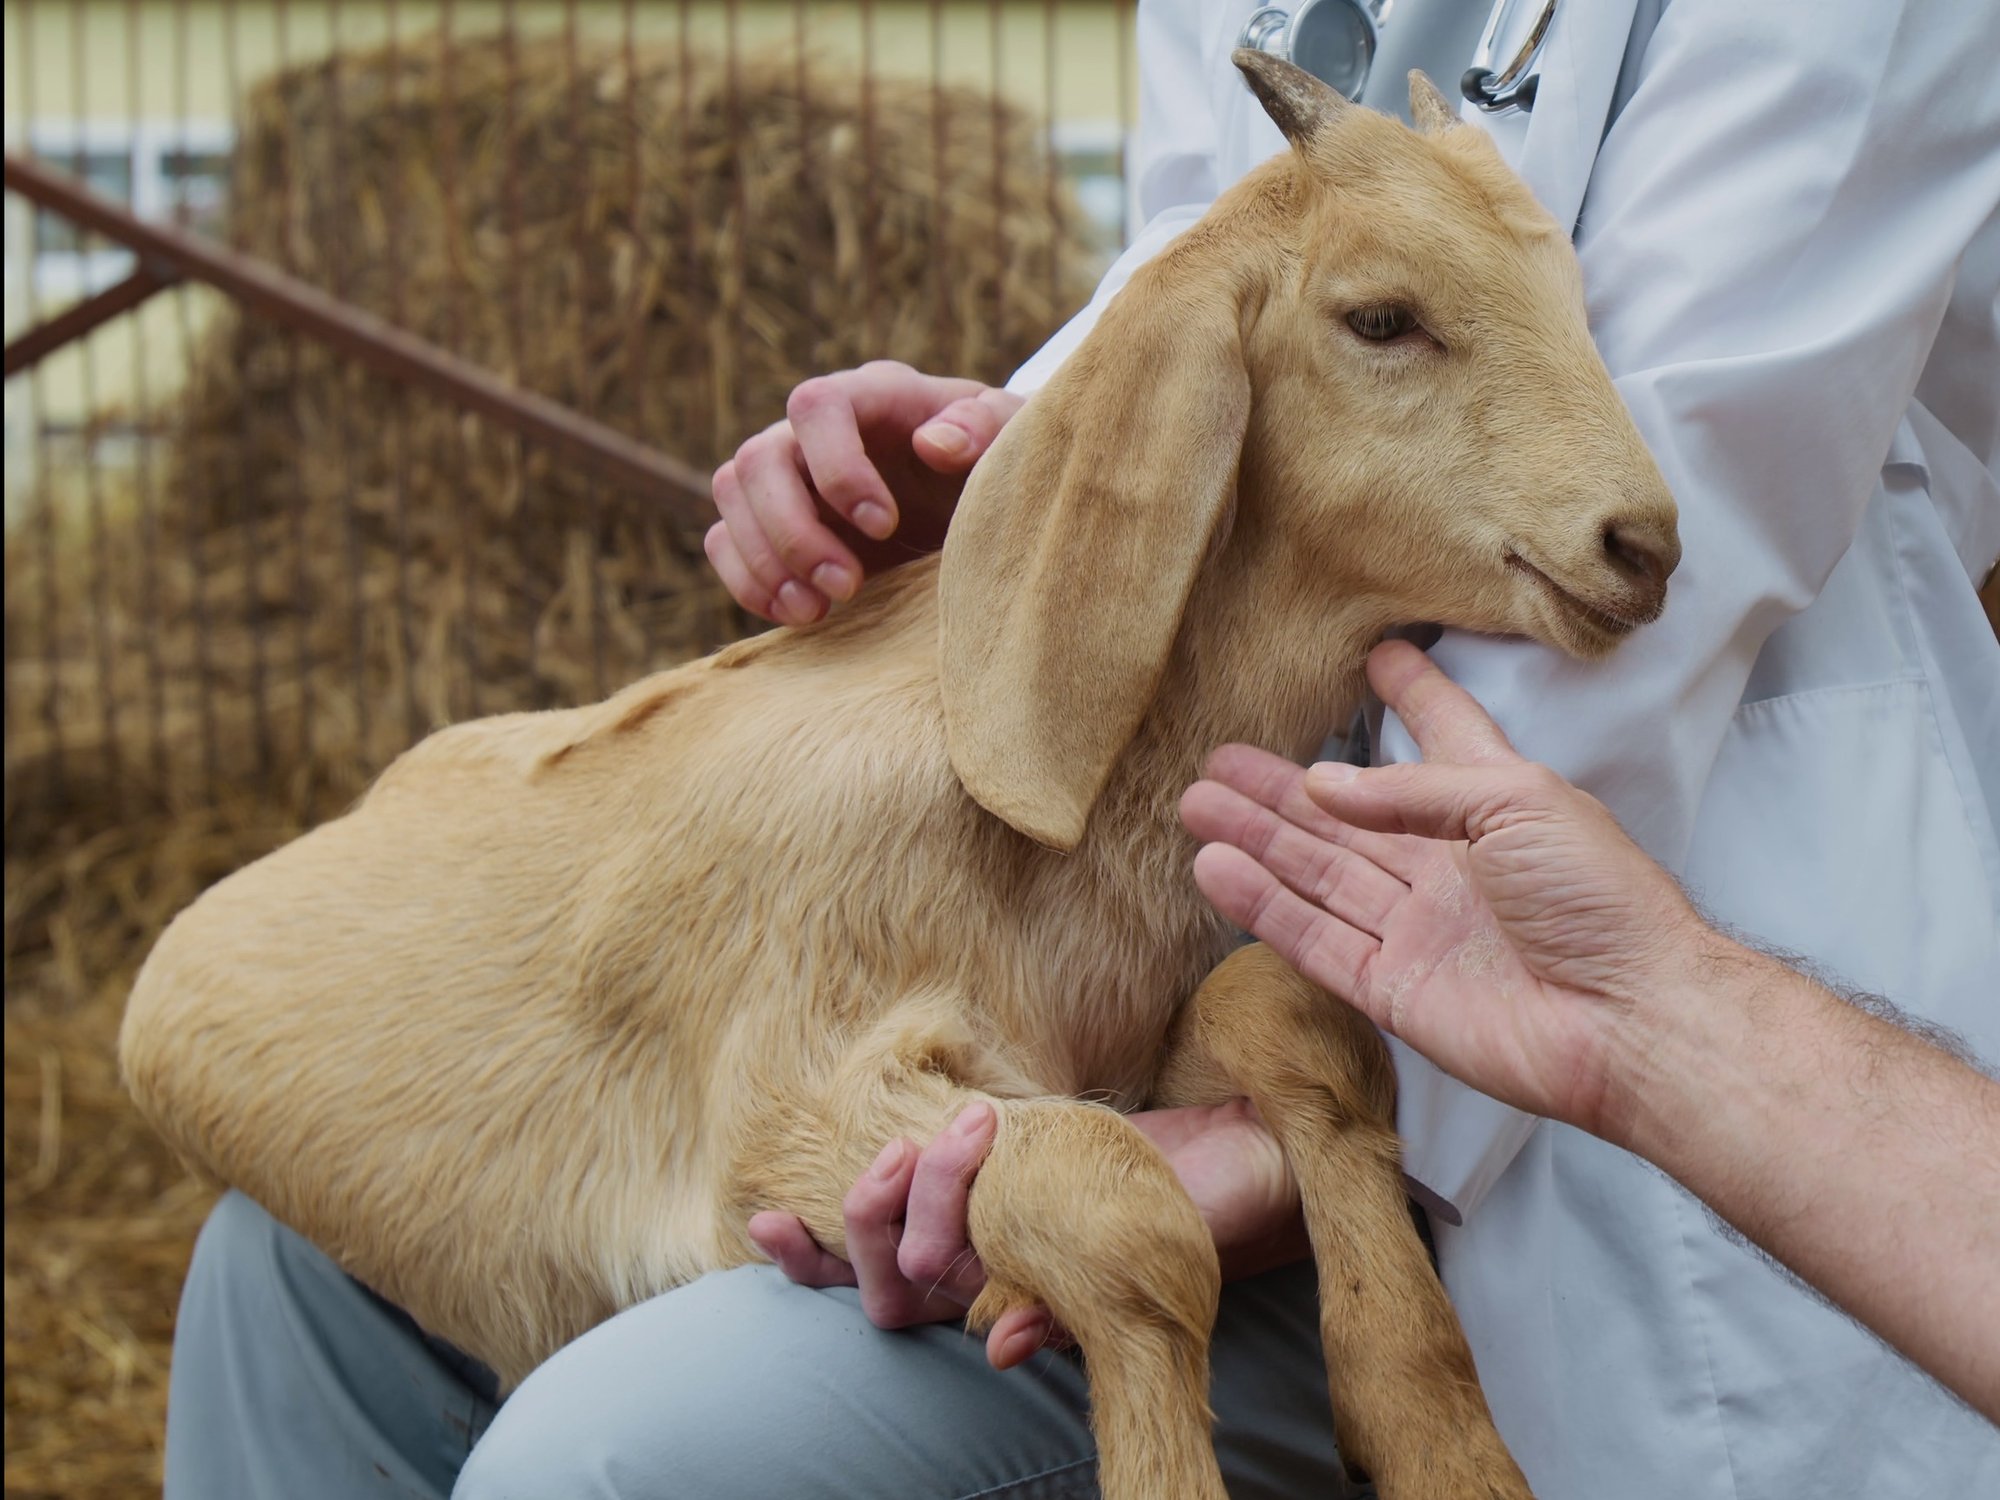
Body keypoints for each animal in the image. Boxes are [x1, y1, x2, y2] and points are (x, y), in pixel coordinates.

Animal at [121, 56, 1679, 1500]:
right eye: (1380, 318)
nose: (1646, 544)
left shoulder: (1119, 1043)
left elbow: (1292, 1022)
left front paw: (1435, 1440)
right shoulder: (783, 1097)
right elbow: (1120, 1209)